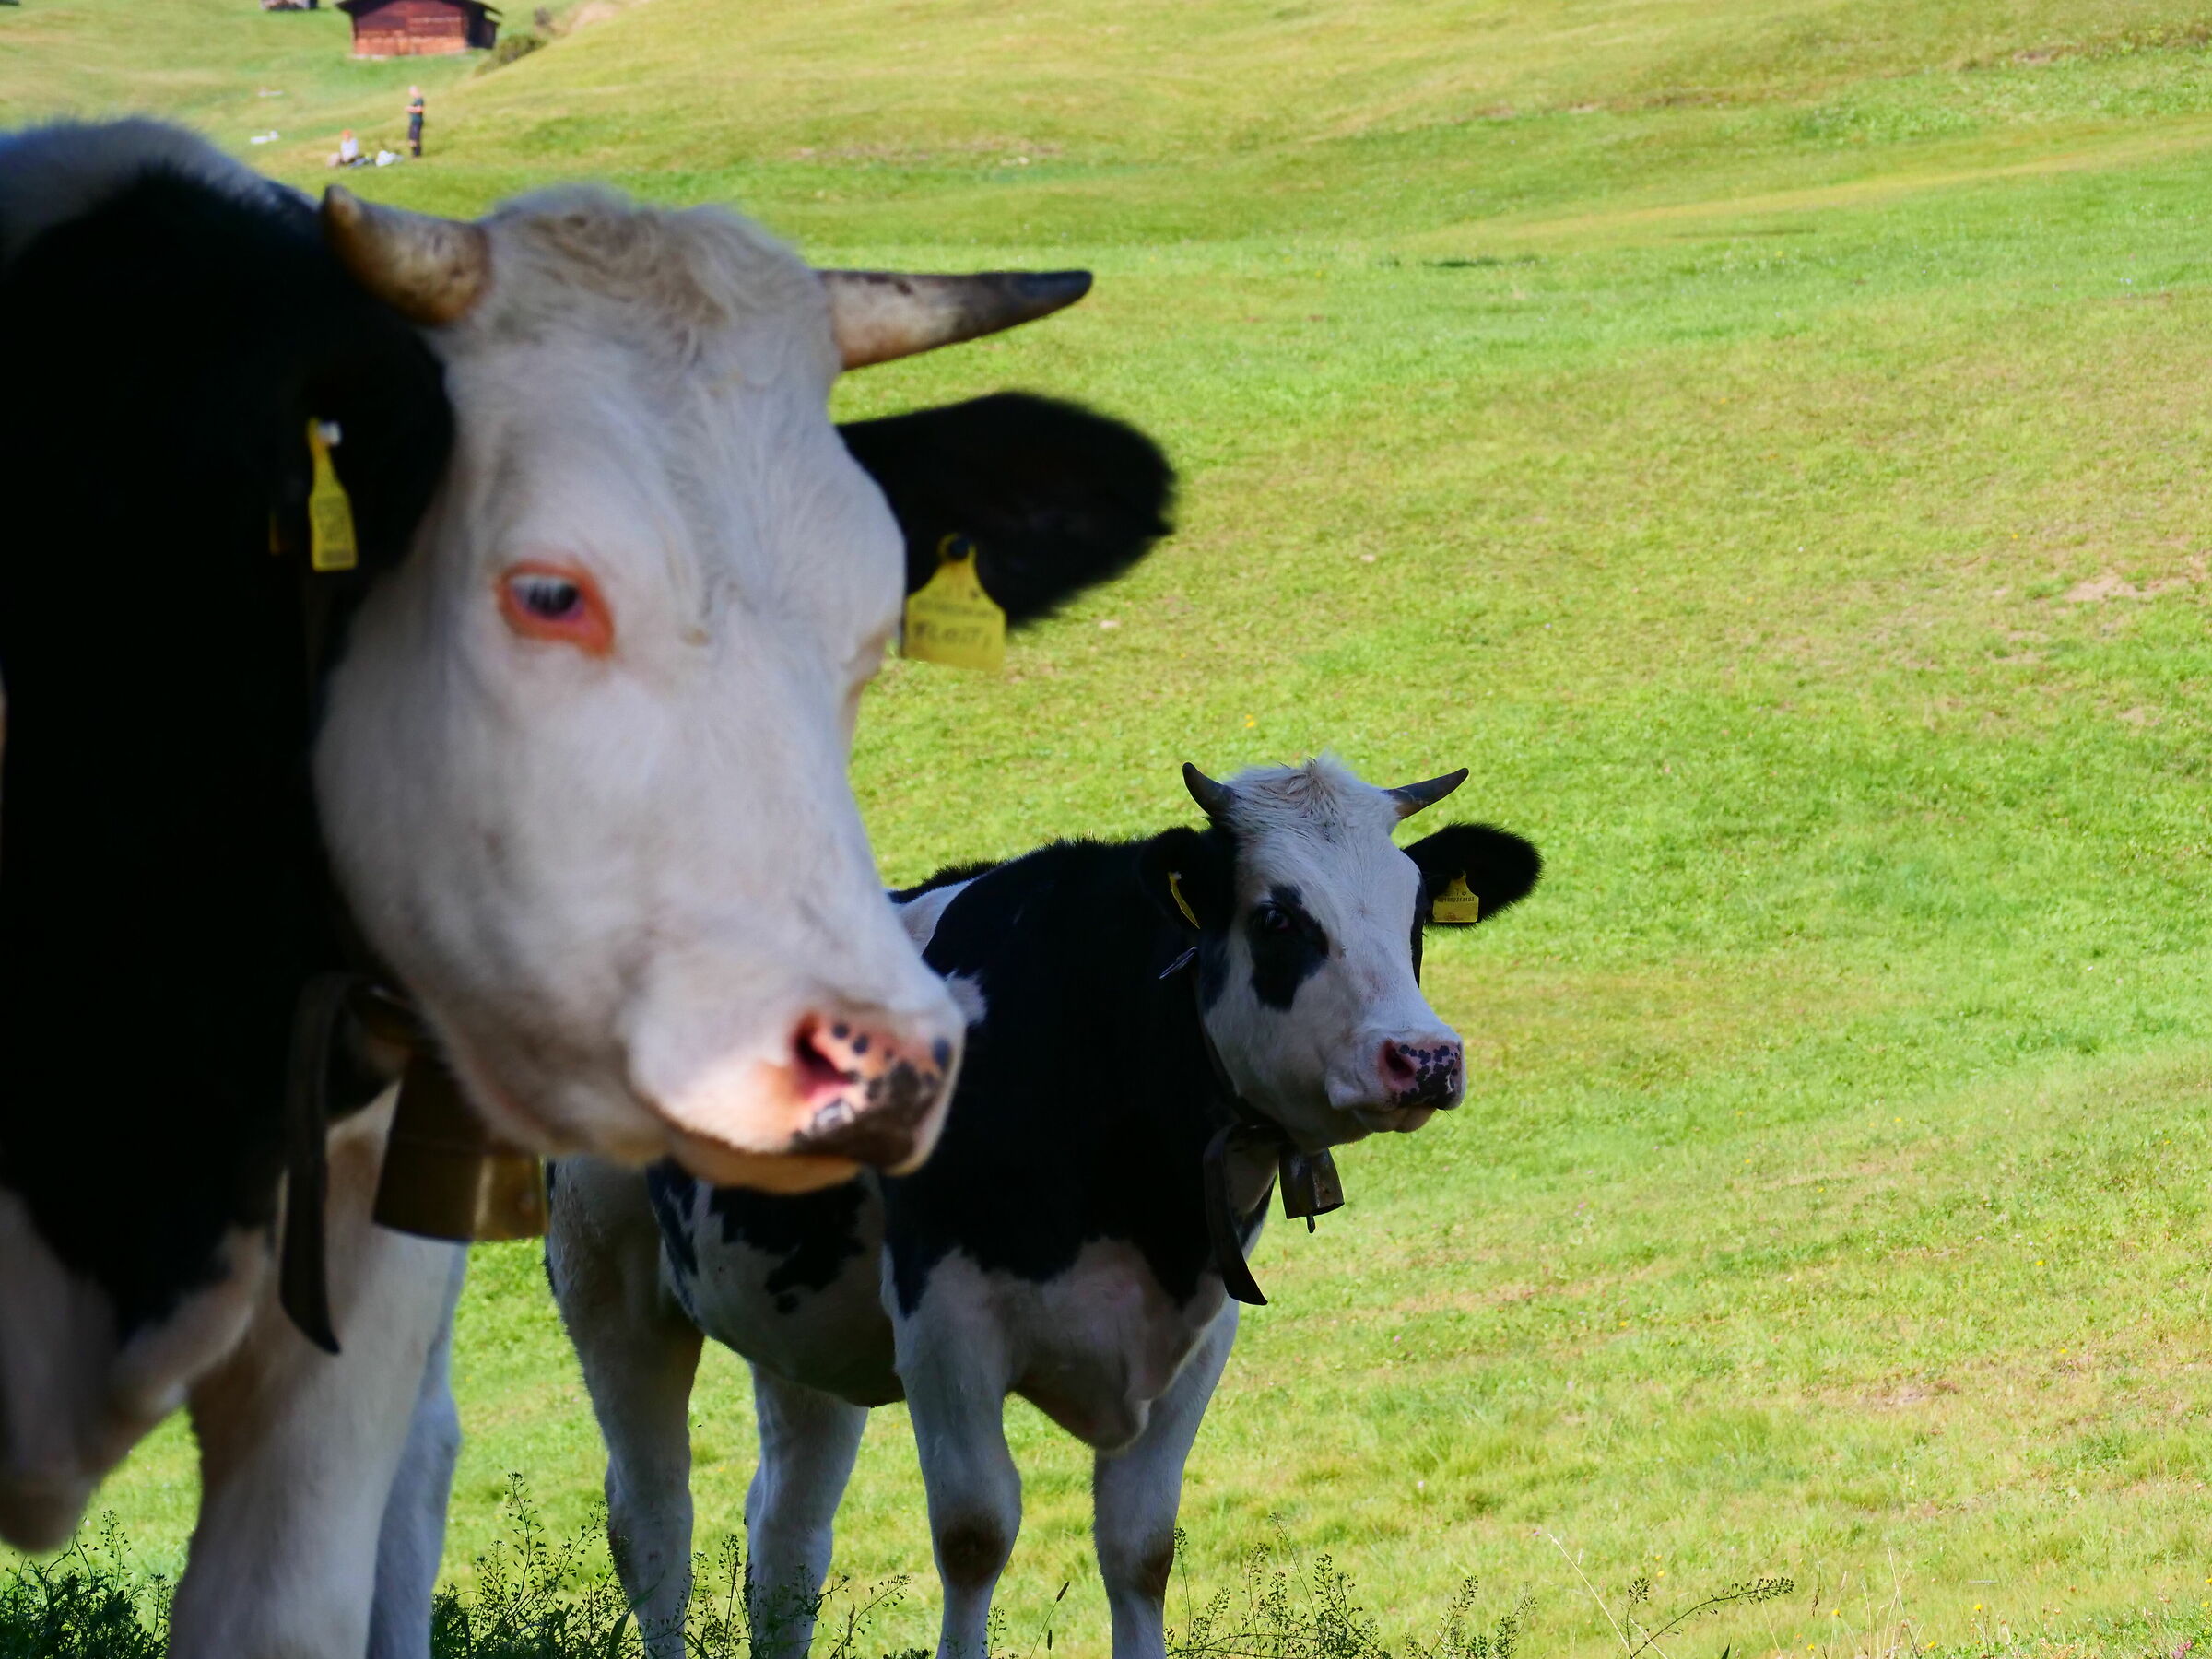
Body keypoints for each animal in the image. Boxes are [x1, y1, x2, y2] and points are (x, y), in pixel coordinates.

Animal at [549, 756, 1543, 1659]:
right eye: (1278, 918)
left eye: (1414, 915)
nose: (1424, 1056)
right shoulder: (944, 1323)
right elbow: (974, 1534)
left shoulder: (1199, 1332)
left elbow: (1141, 1547)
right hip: (609, 1289)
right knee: (653, 1523)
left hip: (800, 1327)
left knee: (787, 1540)